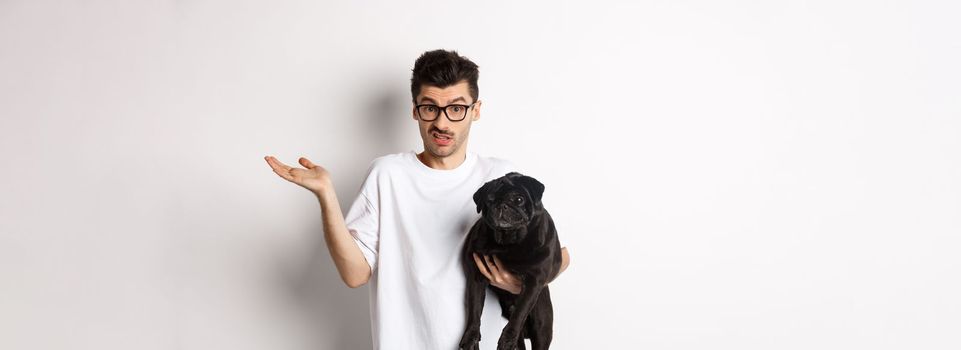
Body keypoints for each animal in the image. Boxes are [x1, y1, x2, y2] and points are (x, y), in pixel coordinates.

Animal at [458, 172, 564, 350]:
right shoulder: (476, 278)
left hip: (541, 326)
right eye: (489, 200)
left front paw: (507, 340)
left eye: (519, 199)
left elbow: (520, 312)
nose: (502, 205)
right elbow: (474, 310)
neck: (508, 242)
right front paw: (470, 337)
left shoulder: (533, 282)